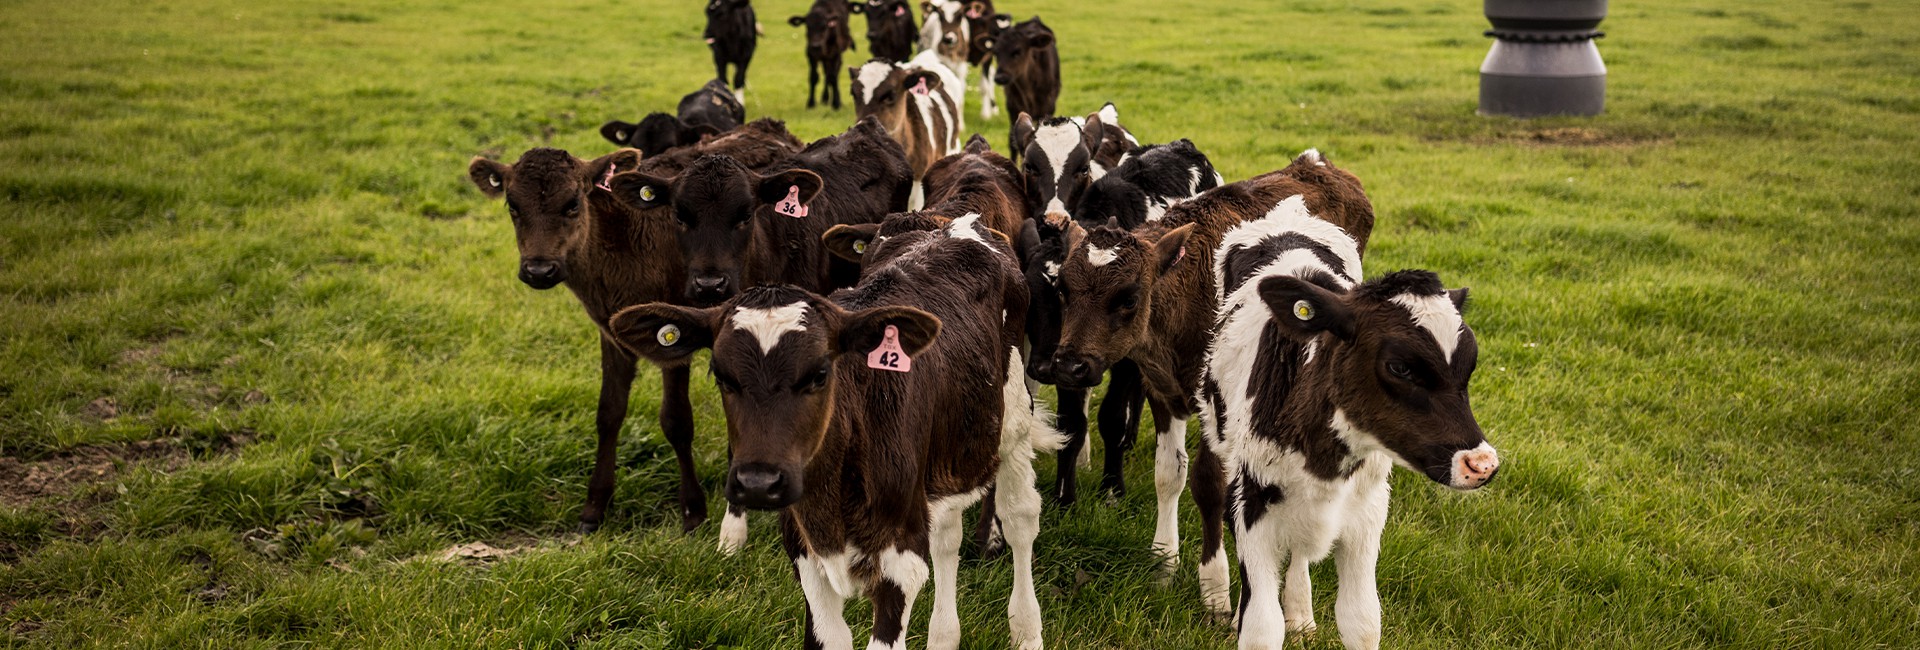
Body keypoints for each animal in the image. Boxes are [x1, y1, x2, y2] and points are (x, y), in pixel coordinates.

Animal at [606, 214, 1059, 650]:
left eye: (820, 373)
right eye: (721, 375)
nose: (758, 483)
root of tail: (953, 221)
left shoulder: (900, 559)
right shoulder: (805, 553)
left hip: (1014, 420)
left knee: (1020, 518)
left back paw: (1027, 633)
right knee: (947, 535)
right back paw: (944, 638)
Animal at [1198, 189, 1497, 650]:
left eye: (1469, 365)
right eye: (1399, 367)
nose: (1481, 464)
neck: (1321, 461)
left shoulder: (1367, 513)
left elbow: (1362, 619)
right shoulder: (1253, 504)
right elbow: (1261, 626)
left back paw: (1300, 610)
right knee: (1211, 492)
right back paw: (1216, 597)